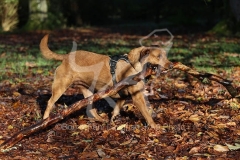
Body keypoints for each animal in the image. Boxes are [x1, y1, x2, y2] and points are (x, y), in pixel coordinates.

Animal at [39, 34, 172, 128]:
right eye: (158, 57)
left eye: (166, 56)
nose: (171, 65)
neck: (134, 64)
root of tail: (66, 56)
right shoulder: (137, 97)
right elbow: (146, 113)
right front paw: (155, 126)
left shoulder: (123, 96)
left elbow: (116, 110)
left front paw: (112, 121)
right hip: (60, 87)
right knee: (50, 102)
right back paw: (45, 121)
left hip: (89, 93)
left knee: (91, 108)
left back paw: (99, 119)